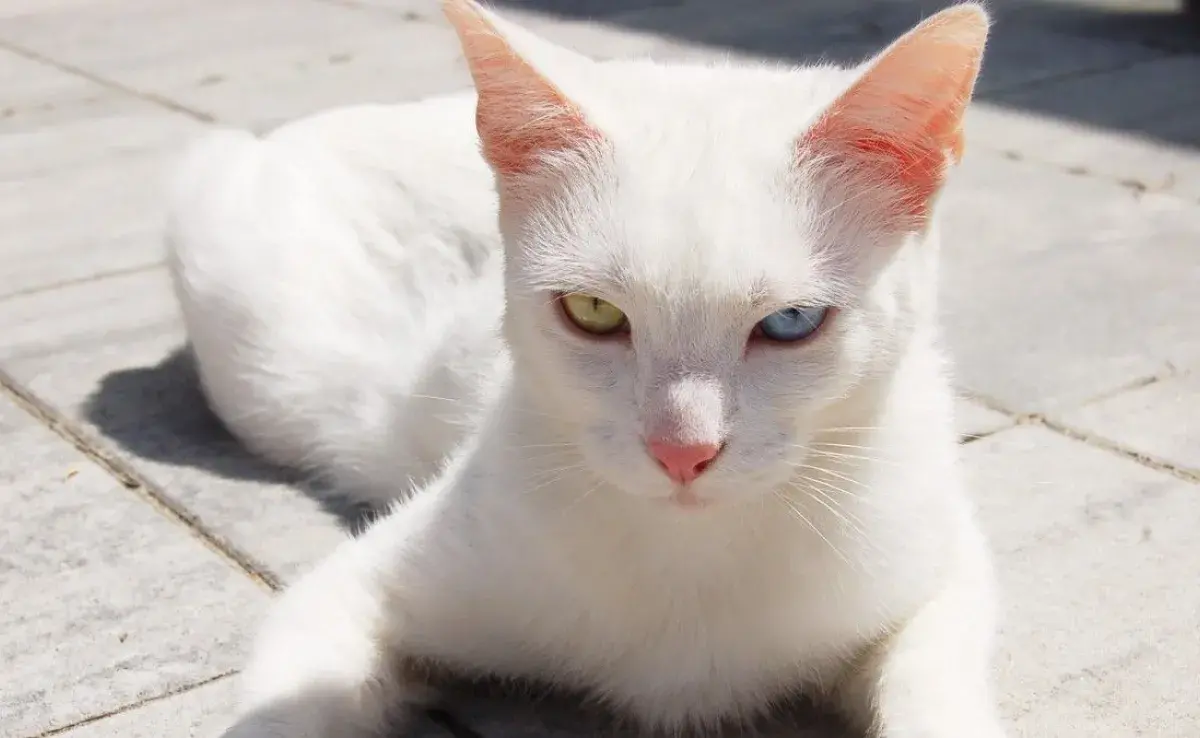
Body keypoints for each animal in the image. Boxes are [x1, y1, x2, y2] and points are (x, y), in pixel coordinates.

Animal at [169, 0, 1008, 734]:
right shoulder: (348, 592)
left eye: (791, 323)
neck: (692, 557)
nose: (682, 451)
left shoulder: (941, 564)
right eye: (594, 312)